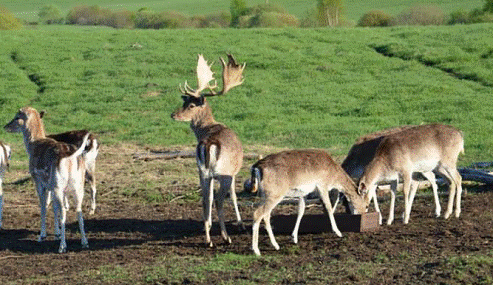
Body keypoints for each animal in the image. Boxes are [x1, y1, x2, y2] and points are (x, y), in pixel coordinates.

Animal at [170, 53, 245, 246]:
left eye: (190, 105)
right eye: (186, 103)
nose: (173, 115)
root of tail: (208, 143)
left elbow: (209, 197)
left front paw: (209, 225)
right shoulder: (233, 172)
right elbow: (234, 196)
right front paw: (240, 224)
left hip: (202, 171)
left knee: (205, 199)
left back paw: (208, 239)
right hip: (223, 172)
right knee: (218, 200)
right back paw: (226, 237)